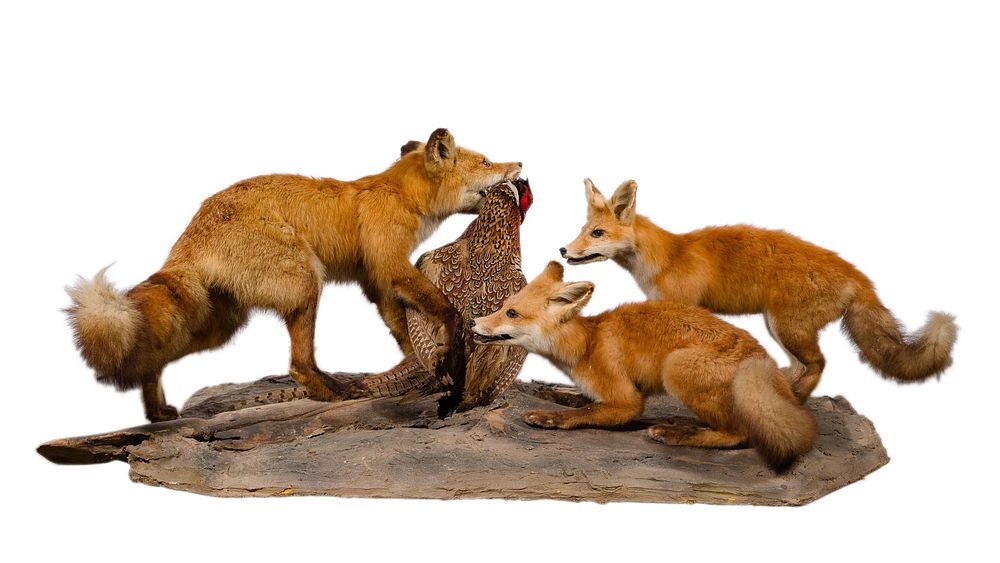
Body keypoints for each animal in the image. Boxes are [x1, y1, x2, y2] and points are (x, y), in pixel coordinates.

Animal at [65, 128, 522, 422]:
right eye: (485, 161)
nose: (519, 161)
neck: (400, 195)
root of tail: (188, 237)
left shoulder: (374, 280)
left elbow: (402, 332)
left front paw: (420, 370)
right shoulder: (390, 265)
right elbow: (443, 310)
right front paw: (443, 355)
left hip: (219, 326)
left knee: (155, 360)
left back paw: (158, 414)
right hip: (305, 282)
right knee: (298, 365)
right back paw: (332, 394)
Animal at [469, 261, 817, 472]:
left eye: (511, 313)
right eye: (502, 306)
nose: (473, 322)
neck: (586, 343)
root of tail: (766, 363)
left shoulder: (626, 400)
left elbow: (587, 411)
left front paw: (549, 417)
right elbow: (575, 397)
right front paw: (547, 391)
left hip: (676, 367)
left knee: (737, 434)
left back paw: (675, 433)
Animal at [559, 178, 958, 401]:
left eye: (596, 233)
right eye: (582, 230)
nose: (563, 250)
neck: (666, 257)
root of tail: (859, 276)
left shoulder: (682, 308)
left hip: (787, 327)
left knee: (818, 364)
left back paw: (796, 399)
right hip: (779, 327)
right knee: (799, 366)